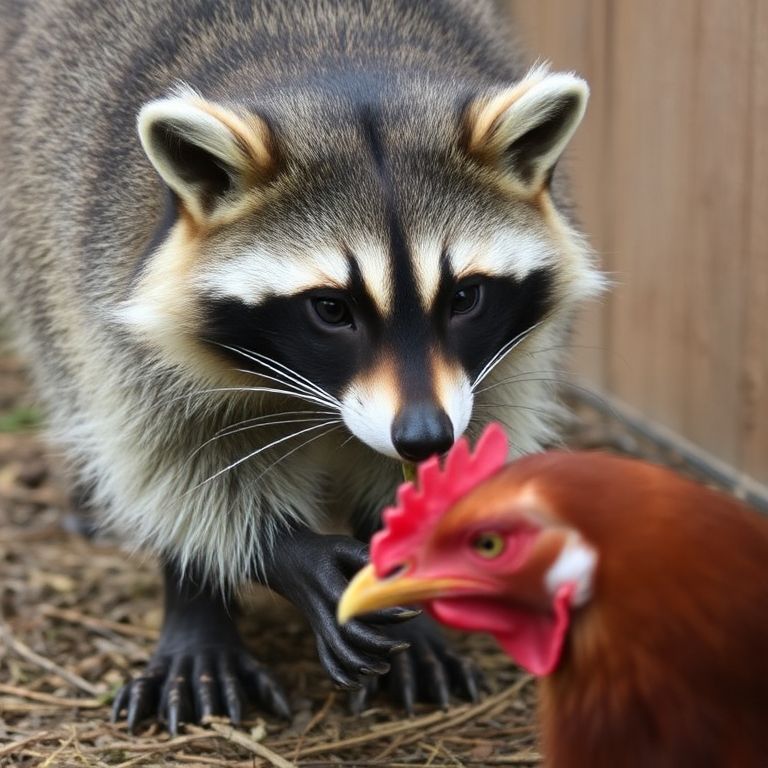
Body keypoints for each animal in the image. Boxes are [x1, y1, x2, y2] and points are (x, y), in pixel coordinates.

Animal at [0, 0, 600, 732]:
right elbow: (172, 464)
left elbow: (477, 432)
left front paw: (412, 570)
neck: (345, 73)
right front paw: (279, 557)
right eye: (330, 309)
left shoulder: (503, 362)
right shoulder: (106, 278)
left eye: (464, 297)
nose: (423, 437)